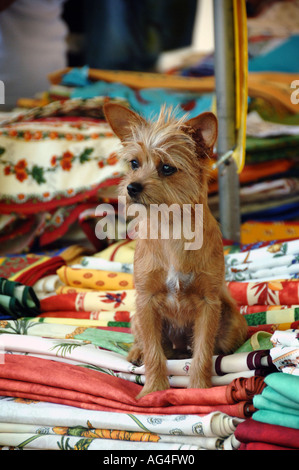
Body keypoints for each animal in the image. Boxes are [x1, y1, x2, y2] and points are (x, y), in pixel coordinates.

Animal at [104, 103, 250, 396]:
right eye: (134, 163)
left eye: (167, 168)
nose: (131, 187)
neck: (171, 227)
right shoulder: (146, 302)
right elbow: (154, 353)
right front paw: (154, 390)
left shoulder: (208, 305)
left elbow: (203, 353)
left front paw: (198, 390)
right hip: (137, 317)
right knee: (149, 344)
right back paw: (136, 352)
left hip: (232, 322)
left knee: (208, 348)